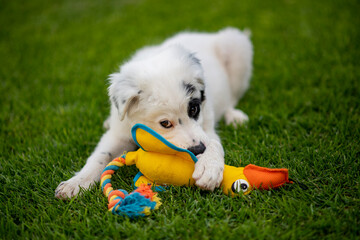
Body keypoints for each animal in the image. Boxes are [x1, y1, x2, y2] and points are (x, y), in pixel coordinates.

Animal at [55, 27, 253, 199]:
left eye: (194, 109)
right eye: (165, 123)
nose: (198, 150)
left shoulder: (206, 125)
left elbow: (213, 143)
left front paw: (208, 168)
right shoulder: (119, 131)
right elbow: (100, 156)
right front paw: (75, 183)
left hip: (237, 48)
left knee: (232, 99)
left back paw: (234, 116)